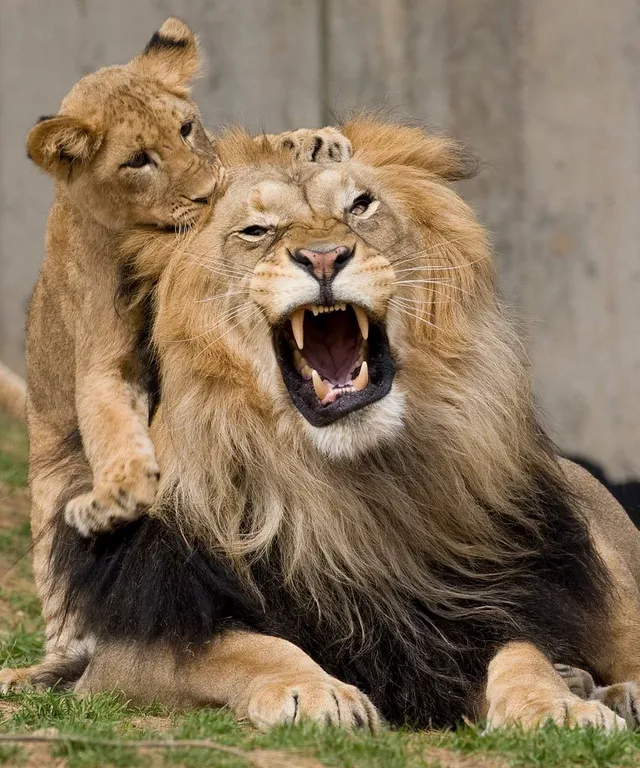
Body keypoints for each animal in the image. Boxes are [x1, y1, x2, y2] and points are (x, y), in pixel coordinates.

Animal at [12, 120, 640, 732]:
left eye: (360, 205)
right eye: (256, 230)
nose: (323, 258)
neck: (344, 490)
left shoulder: (469, 606)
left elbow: (522, 652)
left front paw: (557, 704)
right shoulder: (132, 652)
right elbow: (247, 648)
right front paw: (314, 691)